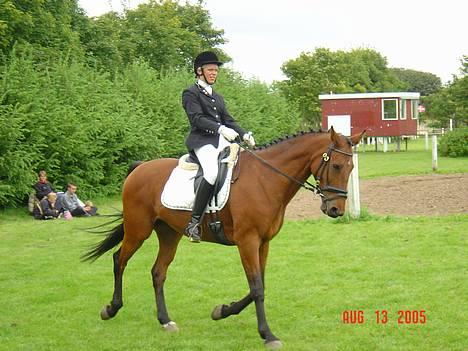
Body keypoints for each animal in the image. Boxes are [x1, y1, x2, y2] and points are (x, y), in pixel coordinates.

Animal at [86, 128, 368, 350]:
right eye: (336, 166)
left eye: (351, 167)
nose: (336, 210)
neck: (267, 180)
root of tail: (140, 168)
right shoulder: (247, 242)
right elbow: (257, 288)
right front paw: (268, 335)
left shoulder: (263, 243)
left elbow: (258, 286)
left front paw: (222, 311)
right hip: (138, 230)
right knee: (119, 260)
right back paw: (111, 308)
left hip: (169, 234)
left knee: (158, 272)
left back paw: (165, 320)